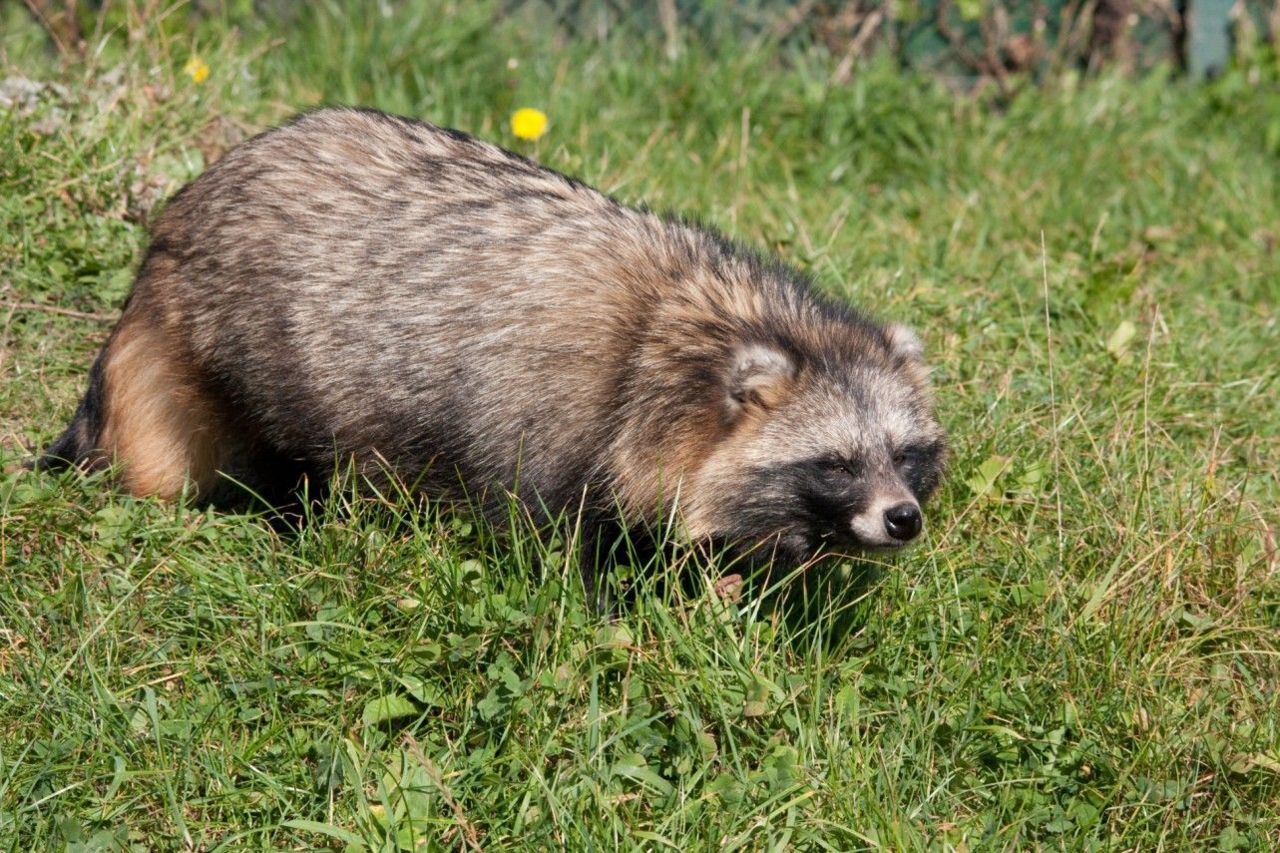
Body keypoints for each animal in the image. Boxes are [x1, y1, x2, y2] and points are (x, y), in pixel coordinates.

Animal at [40, 104, 947, 571]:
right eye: (835, 462)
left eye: (906, 454)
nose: (902, 518)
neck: (677, 331)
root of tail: (180, 214)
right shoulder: (547, 411)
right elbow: (549, 543)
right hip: (227, 342)